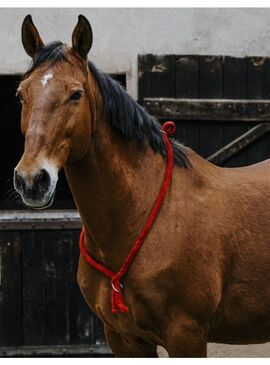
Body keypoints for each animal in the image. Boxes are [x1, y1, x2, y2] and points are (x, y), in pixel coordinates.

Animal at [13, 14, 270, 356]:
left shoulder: (186, 335)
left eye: (76, 94)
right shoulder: (123, 338)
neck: (139, 215)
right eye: (21, 94)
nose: (31, 180)